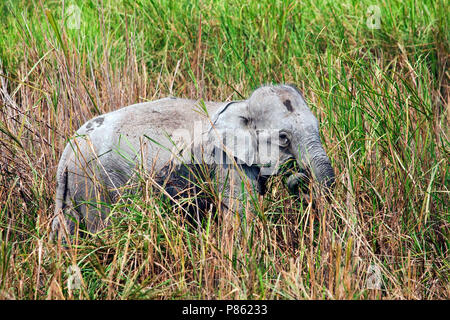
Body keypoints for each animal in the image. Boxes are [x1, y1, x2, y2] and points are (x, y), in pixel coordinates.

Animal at [51, 84, 334, 239]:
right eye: (284, 138)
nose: (298, 173)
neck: (241, 106)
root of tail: (68, 149)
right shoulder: (225, 162)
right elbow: (241, 214)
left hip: (75, 186)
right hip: (96, 182)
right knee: (104, 227)